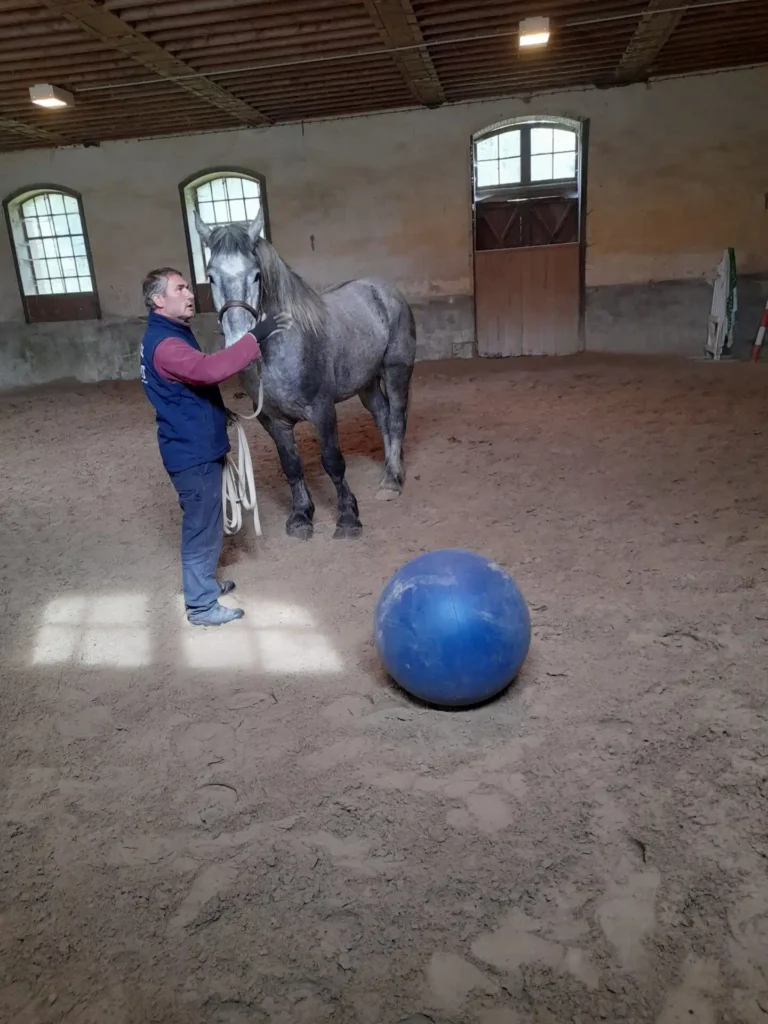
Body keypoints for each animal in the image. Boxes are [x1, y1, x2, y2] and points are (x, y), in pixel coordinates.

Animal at [195, 210, 417, 540]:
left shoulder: (322, 410)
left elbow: (333, 462)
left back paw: (391, 482)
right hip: (366, 384)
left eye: (256, 275)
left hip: (396, 372)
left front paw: (348, 517)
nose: (238, 341)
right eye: (210, 276)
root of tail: (383, 290)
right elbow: (291, 465)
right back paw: (392, 467)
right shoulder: (274, 420)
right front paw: (301, 516)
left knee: (397, 419)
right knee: (383, 418)